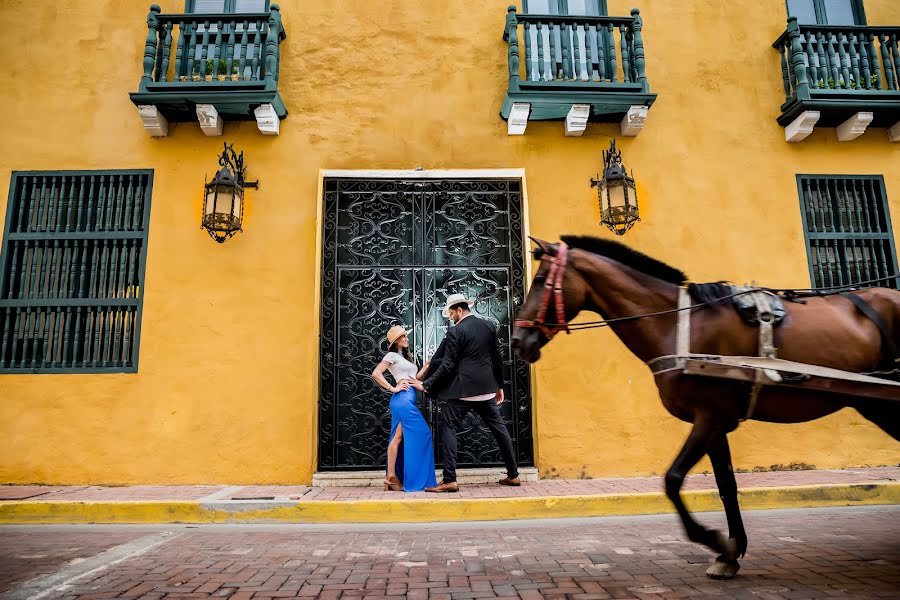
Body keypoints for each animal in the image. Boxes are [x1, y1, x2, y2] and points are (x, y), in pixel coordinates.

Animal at [512, 234, 900, 576]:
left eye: (541, 279)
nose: (517, 340)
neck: (677, 324)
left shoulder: (710, 416)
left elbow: (672, 480)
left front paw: (714, 540)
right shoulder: (718, 422)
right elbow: (726, 485)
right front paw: (730, 553)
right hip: (875, 404)